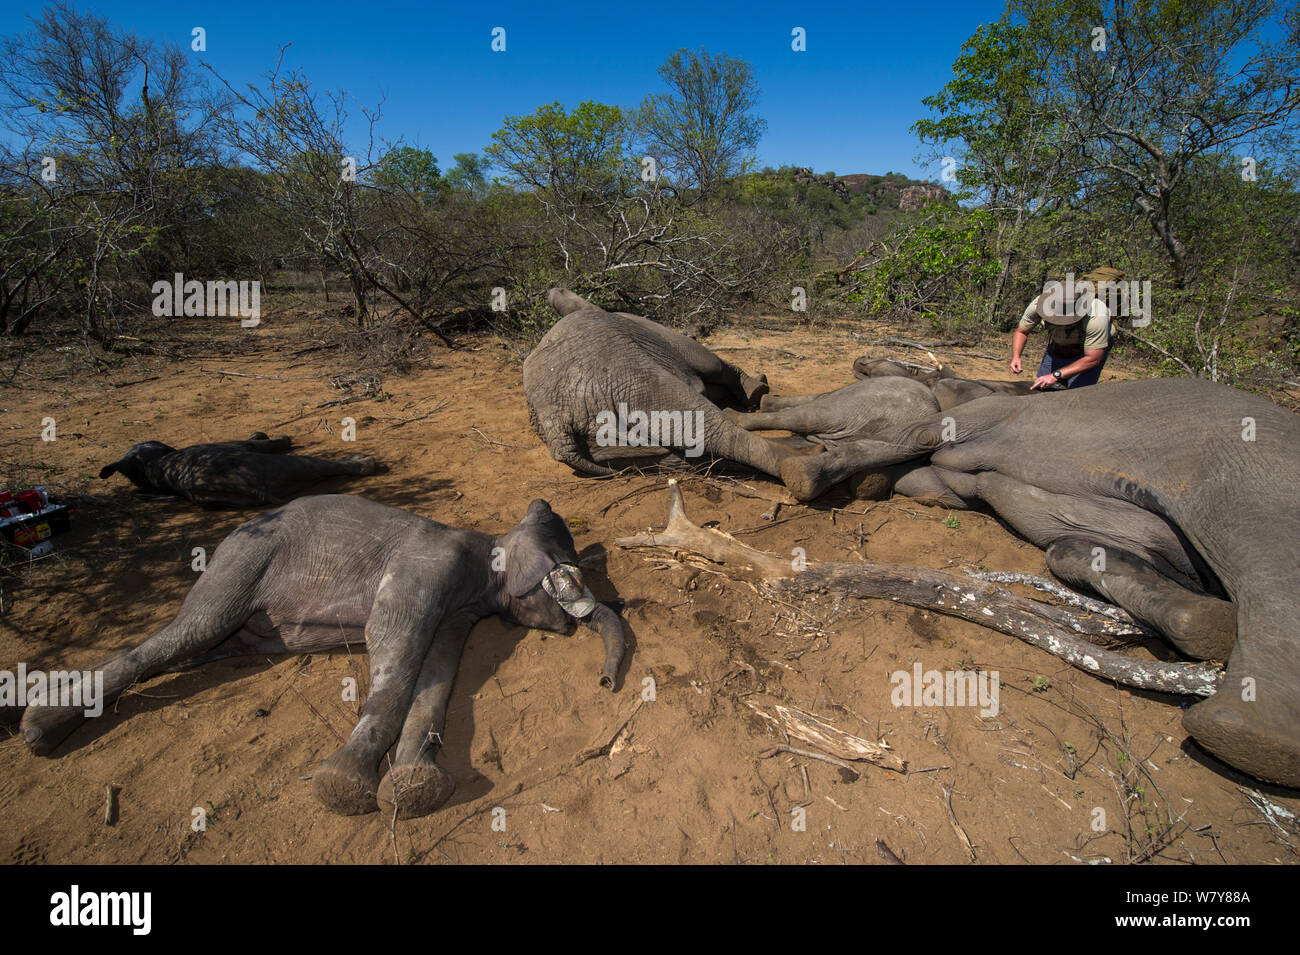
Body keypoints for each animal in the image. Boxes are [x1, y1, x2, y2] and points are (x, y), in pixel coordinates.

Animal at [19, 496, 629, 815]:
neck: (489, 547)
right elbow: (394, 642)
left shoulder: (459, 611)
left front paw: (413, 788)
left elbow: (437, 676)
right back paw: (37, 730)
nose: (606, 684)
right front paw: (344, 788)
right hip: (245, 556)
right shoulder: (432, 563)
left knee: (191, 649)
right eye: (567, 572)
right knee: (187, 633)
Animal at [99, 433, 379, 509]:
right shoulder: (238, 446)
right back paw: (364, 462)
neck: (153, 464)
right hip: (276, 467)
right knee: (319, 466)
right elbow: (262, 442)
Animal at [780, 382, 1300, 789]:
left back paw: (1247, 735)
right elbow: (1065, 548)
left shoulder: (991, 414)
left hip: (1248, 469)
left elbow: (922, 436)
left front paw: (805, 471)